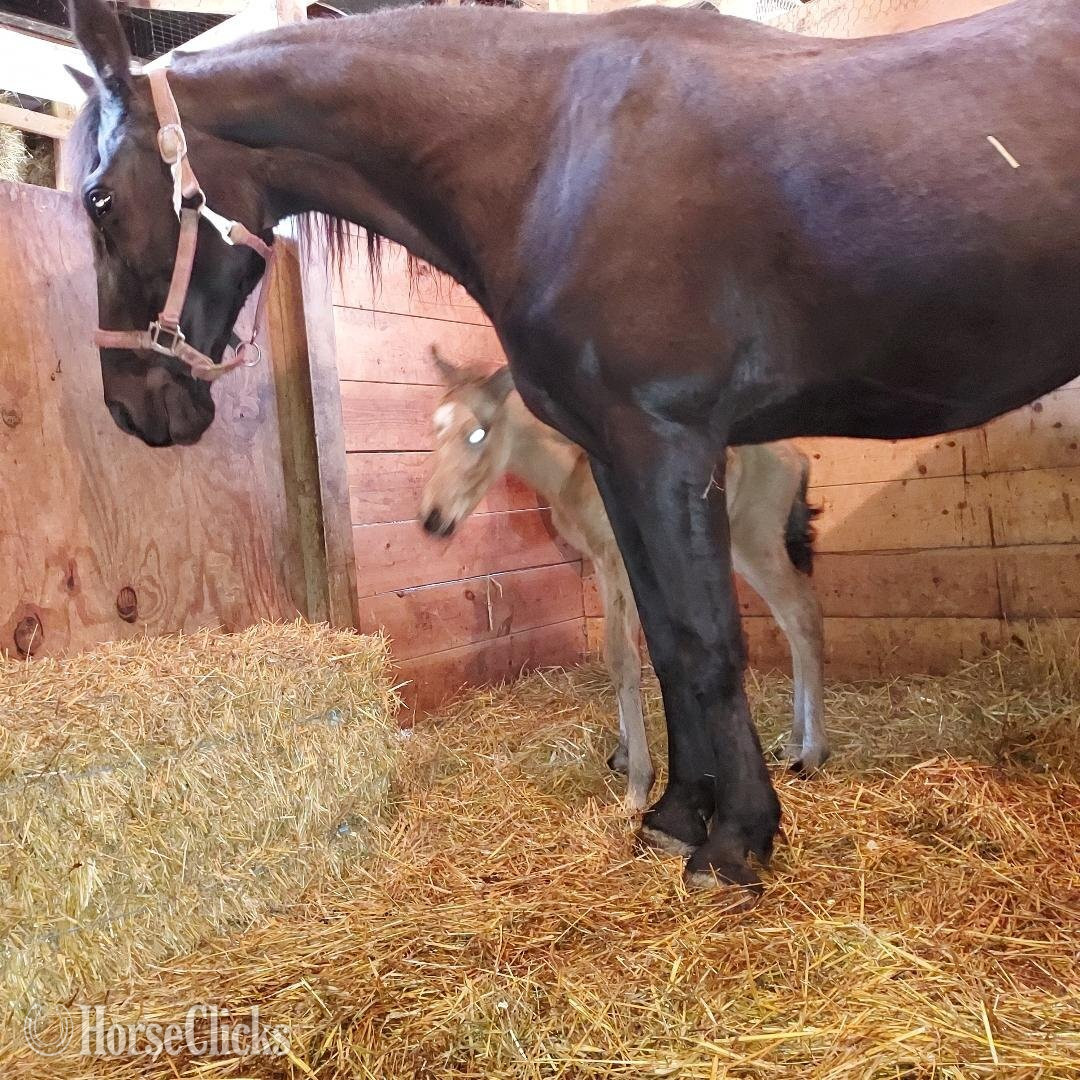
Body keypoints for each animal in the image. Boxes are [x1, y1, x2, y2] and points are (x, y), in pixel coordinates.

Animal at [419, 351, 827, 813]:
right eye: (435, 428)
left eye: (478, 433)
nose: (433, 520)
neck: (575, 467)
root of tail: (798, 455)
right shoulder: (602, 561)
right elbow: (616, 653)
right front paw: (624, 755)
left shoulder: (623, 561)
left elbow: (623, 657)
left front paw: (638, 787)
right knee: (791, 622)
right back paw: (792, 744)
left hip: (755, 542)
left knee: (801, 614)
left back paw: (811, 754)